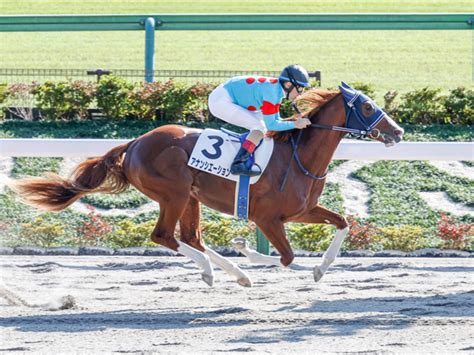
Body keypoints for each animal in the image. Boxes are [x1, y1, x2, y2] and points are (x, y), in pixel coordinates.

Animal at [12, 85, 404, 288]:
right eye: (367, 107)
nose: (398, 132)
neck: (298, 157)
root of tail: (134, 143)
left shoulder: (301, 211)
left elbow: (343, 224)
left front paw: (321, 268)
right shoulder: (267, 218)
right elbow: (287, 257)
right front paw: (248, 249)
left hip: (191, 198)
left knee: (191, 238)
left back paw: (232, 274)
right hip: (173, 194)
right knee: (165, 236)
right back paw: (214, 270)